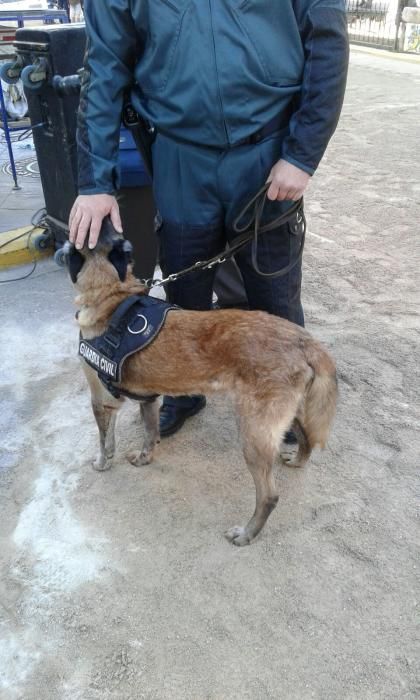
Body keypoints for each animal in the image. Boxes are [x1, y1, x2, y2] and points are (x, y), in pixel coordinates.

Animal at [64, 224, 336, 548]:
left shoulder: (101, 401)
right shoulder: (147, 400)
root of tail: (304, 340)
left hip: (253, 434)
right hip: (283, 416)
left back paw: (247, 533)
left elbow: (106, 442)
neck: (112, 296)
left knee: (269, 496)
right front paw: (144, 458)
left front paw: (101, 464)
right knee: (306, 438)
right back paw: (296, 460)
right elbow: (150, 434)